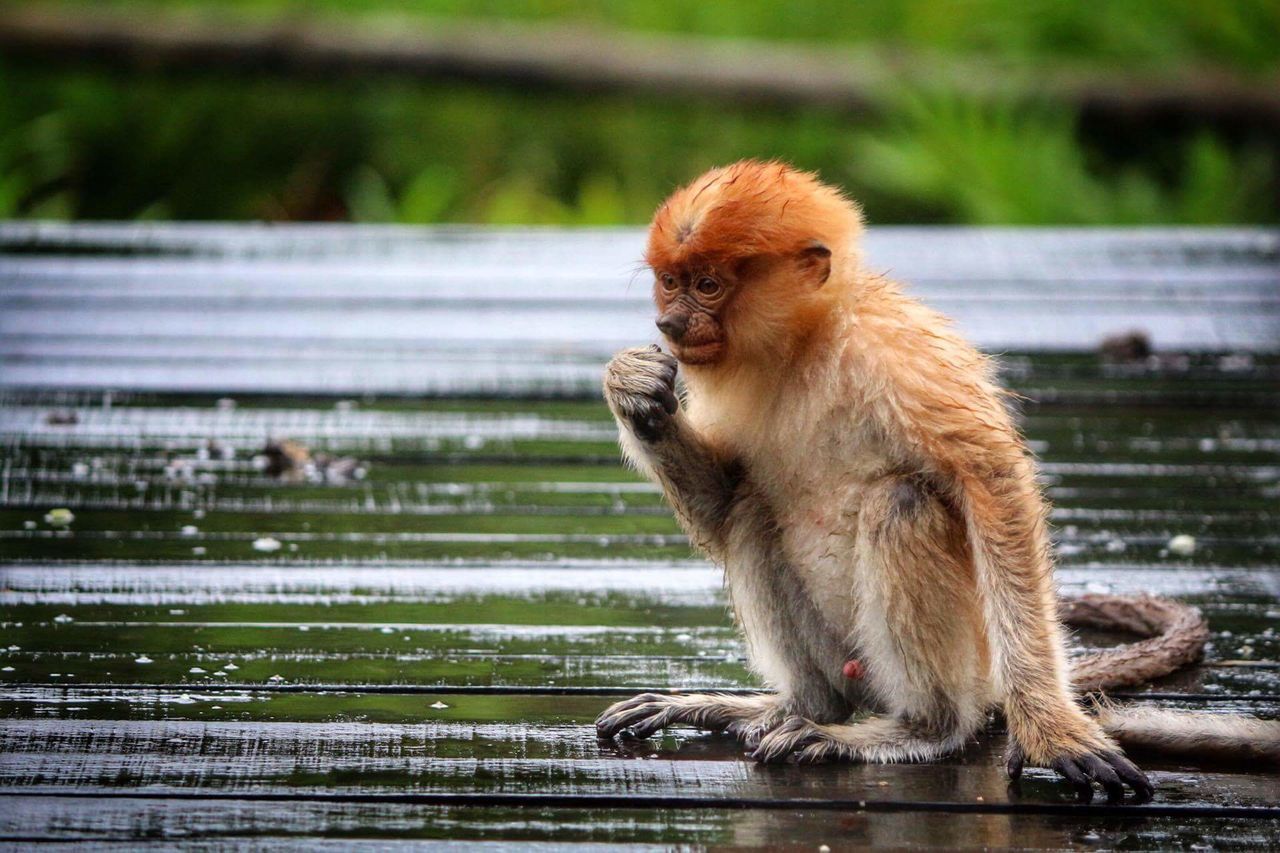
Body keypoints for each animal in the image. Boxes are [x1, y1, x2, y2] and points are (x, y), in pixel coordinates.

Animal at [599, 161, 1280, 804]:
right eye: (670, 281)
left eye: (708, 285)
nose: (670, 323)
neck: (802, 346)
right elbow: (721, 504)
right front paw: (634, 388)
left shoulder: (897, 355)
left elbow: (992, 481)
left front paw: (1049, 732)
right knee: (751, 507)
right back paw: (803, 707)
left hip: (959, 665)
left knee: (902, 503)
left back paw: (917, 728)